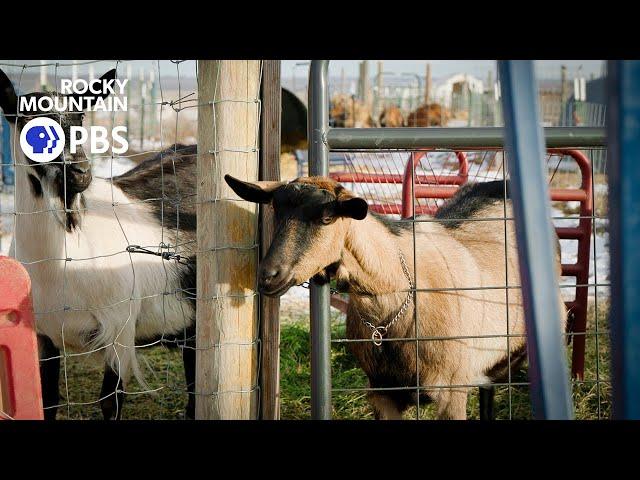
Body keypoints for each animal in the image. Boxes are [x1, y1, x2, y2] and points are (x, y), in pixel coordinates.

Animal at [0, 68, 198, 420]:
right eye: (28, 122)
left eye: (80, 116)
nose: (81, 172)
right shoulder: (42, 336)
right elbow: (47, 400)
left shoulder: (118, 329)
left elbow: (110, 401)